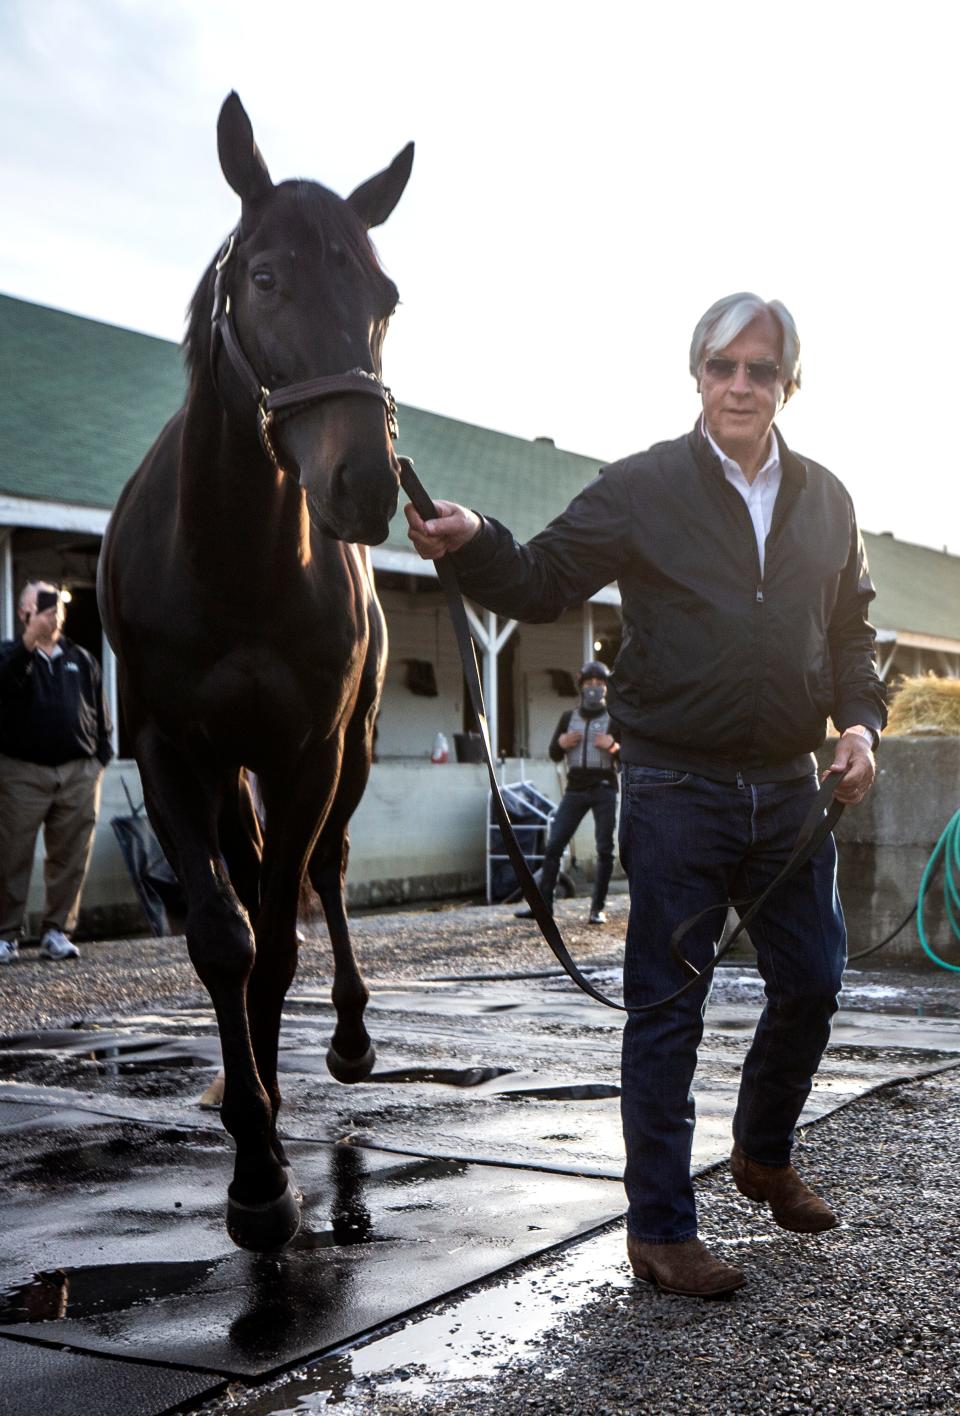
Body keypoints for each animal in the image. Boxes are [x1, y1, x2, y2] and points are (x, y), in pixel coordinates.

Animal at [96, 94, 413, 1251]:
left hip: (345, 756)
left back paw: (341, 1047)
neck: (229, 558)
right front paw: (253, 1154)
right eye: (265, 277)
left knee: (322, 870)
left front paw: (267, 1161)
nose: (365, 485)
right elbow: (223, 942)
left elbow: (278, 940)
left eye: (384, 297)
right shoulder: (168, 751)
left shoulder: (307, 749)